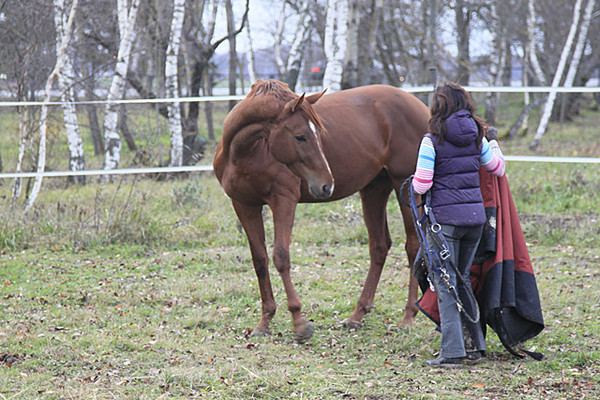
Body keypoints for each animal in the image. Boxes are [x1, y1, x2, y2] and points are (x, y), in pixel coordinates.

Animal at [213, 79, 428, 342]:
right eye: (301, 136)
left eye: (318, 133)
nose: (327, 185)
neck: (246, 152)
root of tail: (421, 107)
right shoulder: (244, 205)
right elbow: (260, 260)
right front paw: (265, 321)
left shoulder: (283, 200)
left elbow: (281, 256)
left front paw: (299, 322)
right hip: (374, 189)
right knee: (379, 246)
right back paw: (357, 315)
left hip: (404, 186)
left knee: (413, 246)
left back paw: (408, 317)